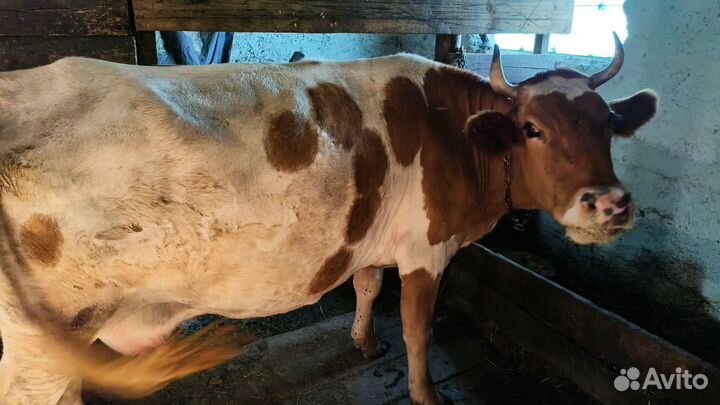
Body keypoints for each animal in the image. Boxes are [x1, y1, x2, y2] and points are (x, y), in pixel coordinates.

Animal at [0, 33, 656, 405]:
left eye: (608, 124)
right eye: (532, 128)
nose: (608, 203)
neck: (455, 130)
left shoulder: (374, 240)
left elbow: (366, 286)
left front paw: (364, 341)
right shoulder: (427, 251)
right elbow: (418, 331)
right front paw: (425, 394)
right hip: (40, 344)